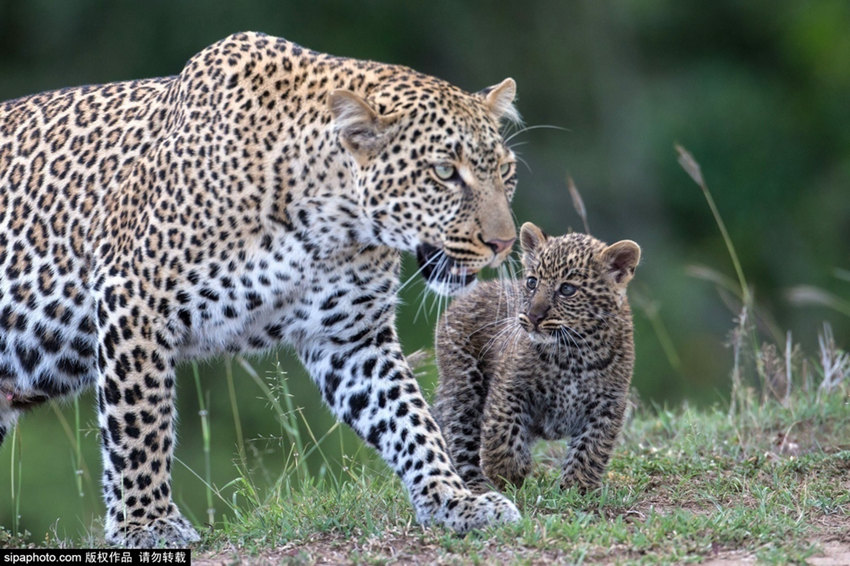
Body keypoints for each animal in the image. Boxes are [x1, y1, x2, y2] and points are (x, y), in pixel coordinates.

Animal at [0, 32, 520, 552]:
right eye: (444, 172)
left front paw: (454, 499)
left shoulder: (351, 337)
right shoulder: (132, 298)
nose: (504, 243)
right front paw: (147, 524)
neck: (328, 223)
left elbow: (409, 419)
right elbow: (139, 423)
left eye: (506, 171)